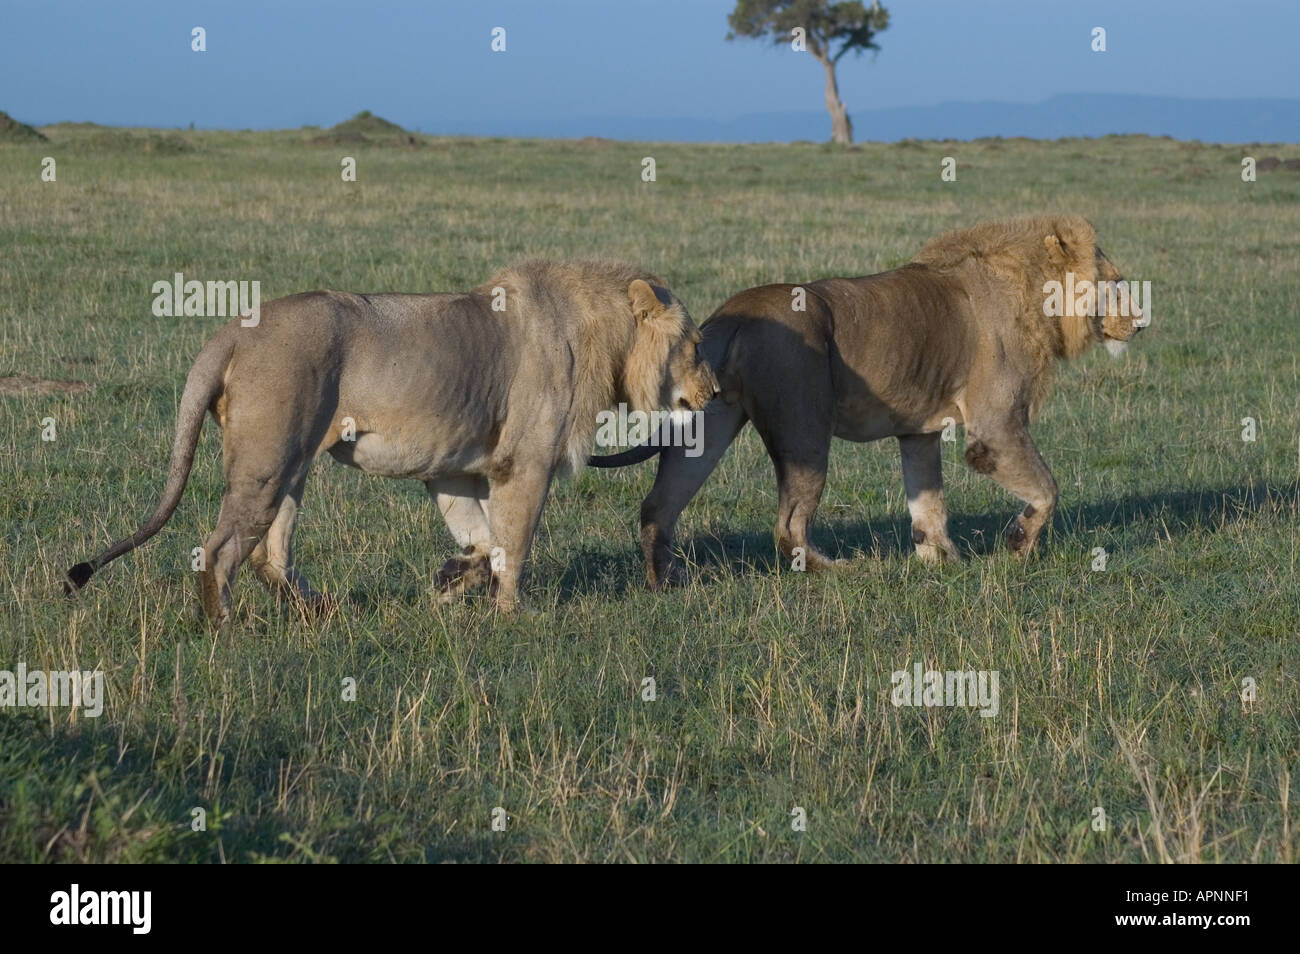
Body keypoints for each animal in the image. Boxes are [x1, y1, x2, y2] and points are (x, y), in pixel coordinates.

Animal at [65, 261, 719, 624]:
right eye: (695, 344)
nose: (714, 392)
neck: (604, 336)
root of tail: (233, 330)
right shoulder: (524, 463)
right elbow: (515, 544)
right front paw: (514, 615)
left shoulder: (452, 468)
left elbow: (483, 538)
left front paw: (452, 581)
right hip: (267, 461)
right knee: (221, 549)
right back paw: (224, 627)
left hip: (293, 464)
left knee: (269, 553)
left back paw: (321, 611)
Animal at [589, 216, 1146, 587]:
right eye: (1115, 285)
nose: (1141, 322)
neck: (1032, 292)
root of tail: (730, 313)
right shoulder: (996, 427)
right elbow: (1048, 489)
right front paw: (1017, 547)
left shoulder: (919, 431)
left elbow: (928, 502)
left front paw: (942, 561)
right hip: (805, 428)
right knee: (788, 526)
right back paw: (841, 571)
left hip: (710, 418)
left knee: (660, 503)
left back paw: (665, 582)